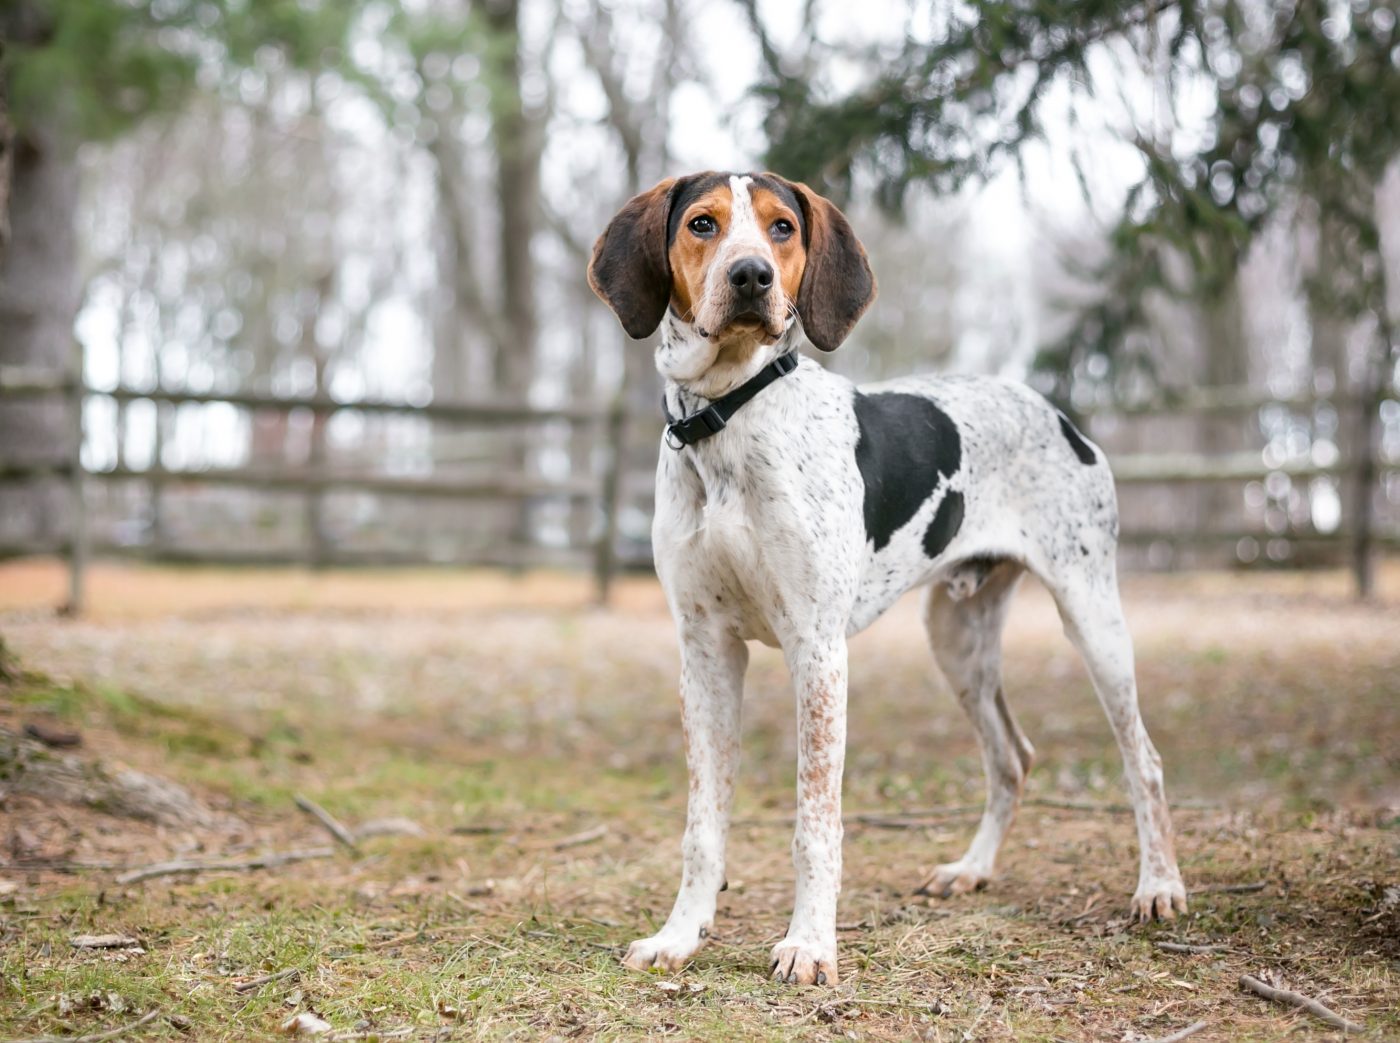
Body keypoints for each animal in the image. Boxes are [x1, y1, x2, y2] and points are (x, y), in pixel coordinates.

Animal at [585, 170, 1187, 985]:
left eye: (781, 227)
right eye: (703, 224)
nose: (752, 277)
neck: (728, 417)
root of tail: (1058, 413)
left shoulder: (817, 651)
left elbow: (816, 823)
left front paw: (809, 945)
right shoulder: (705, 651)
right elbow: (702, 825)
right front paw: (680, 935)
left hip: (1092, 618)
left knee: (1142, 760)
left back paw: (1159, 885)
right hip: (957, 640)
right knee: (1012, 757)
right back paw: (971, 869)